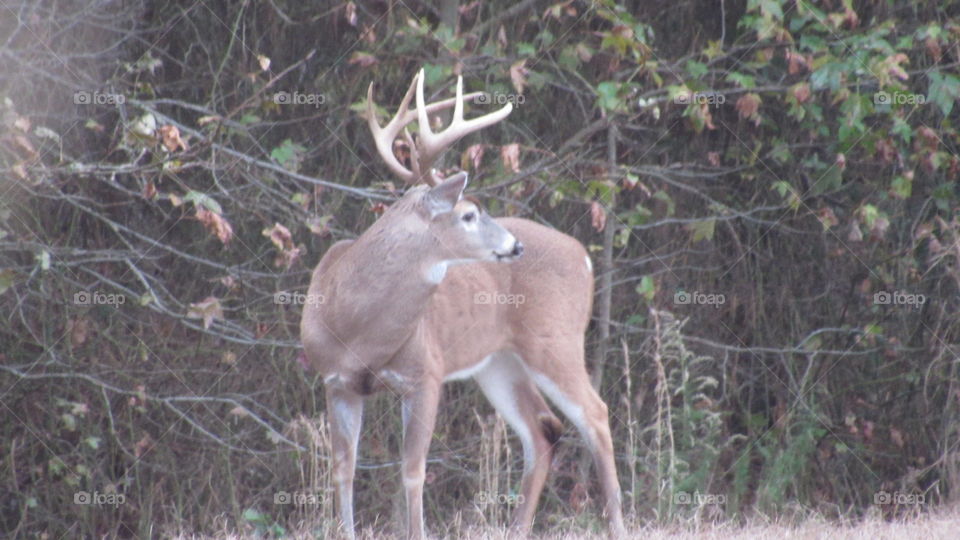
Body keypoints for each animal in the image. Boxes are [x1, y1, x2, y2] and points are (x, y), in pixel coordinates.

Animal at [299, 69, 625, 539]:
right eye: (468, 214)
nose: (515, 245)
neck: (355, 325)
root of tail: (583, 255)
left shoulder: (426, 373)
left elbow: (412, 470)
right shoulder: (336, 381)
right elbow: (343, 468)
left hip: (555, 339)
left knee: (595, 414)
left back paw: (617, 523)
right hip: (498, 362)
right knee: (541, 429)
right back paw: (516, 529)